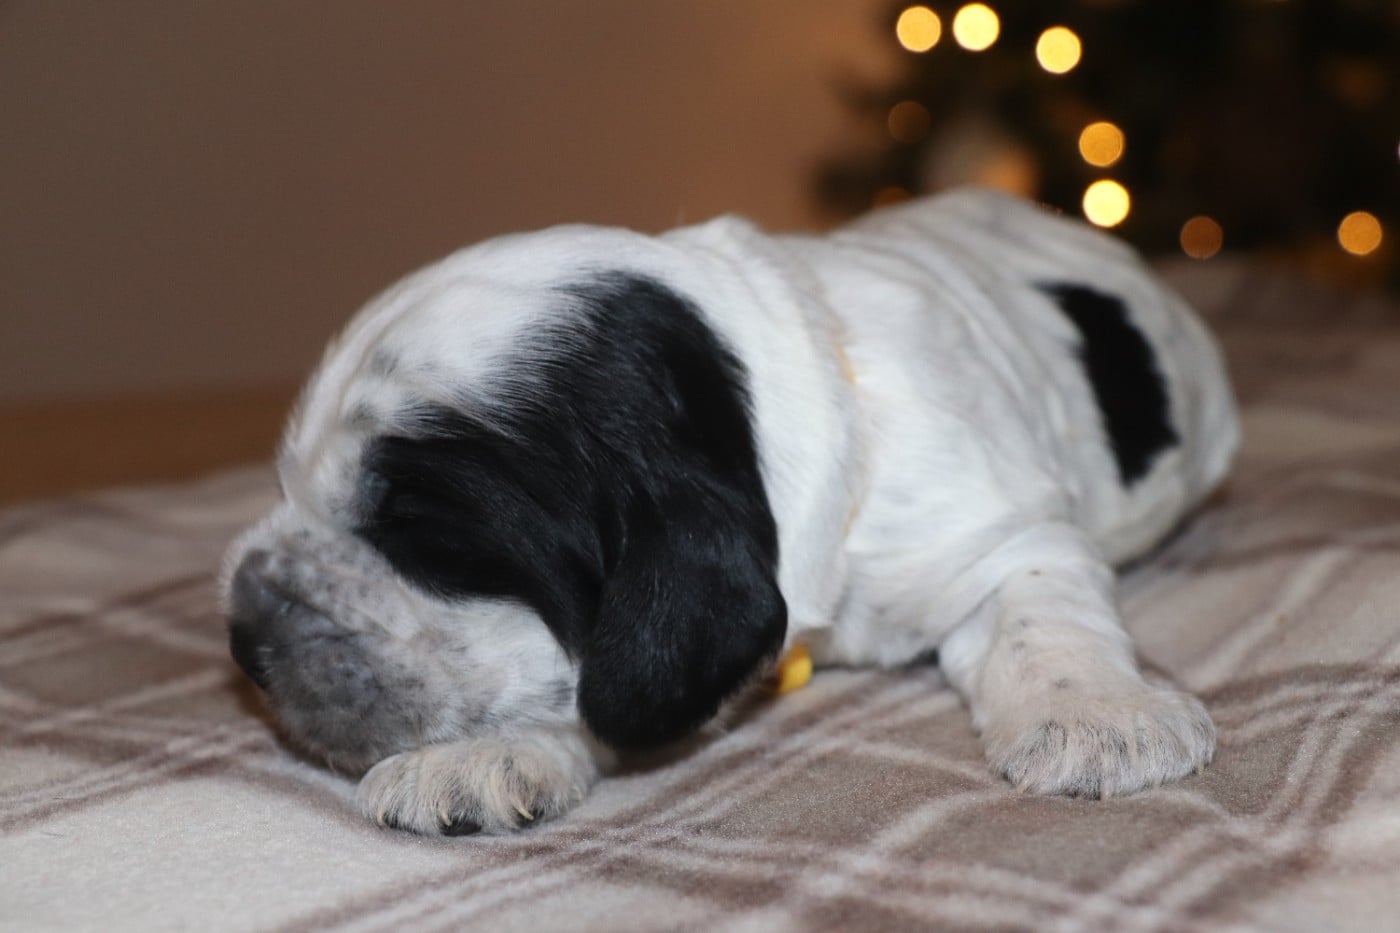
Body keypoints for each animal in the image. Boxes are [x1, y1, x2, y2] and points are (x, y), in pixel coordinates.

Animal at [222, 188, 1238, 836]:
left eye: (426, 538)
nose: (243, 643)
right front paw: (477, 754)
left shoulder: (998, 529)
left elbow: (1044, 614)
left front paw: (1102, 719)